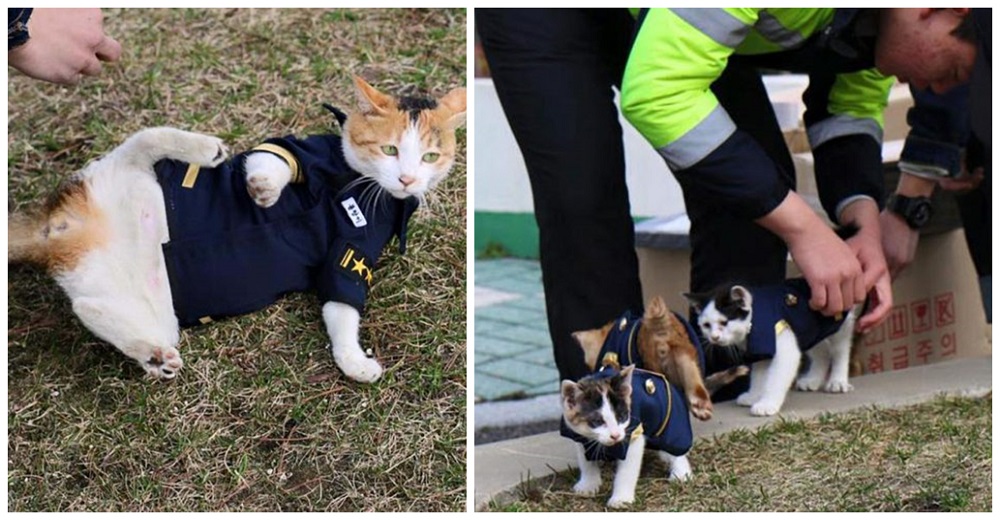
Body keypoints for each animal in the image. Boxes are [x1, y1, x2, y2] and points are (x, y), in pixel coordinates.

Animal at [5, 75, 466, 380]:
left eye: (429, 157)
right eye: (389, 149)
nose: (407, 179)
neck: (355, 184)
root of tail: (61, 229)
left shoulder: (351, 253)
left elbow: (342, 305)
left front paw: (352, 360)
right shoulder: (297, 149)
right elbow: (271, 159)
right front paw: (265, 189)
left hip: (148, 305)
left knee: (89, 308)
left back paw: (152, 356)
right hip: (118, 173)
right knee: (142, 140)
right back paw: (202, 147)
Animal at [688, 278, 860, 416]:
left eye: (724, 322)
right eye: (706, 325)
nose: (714, 337)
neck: (754, 321)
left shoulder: (784, 348)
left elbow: (776, 379)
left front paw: (767, 404)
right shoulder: (760, 350)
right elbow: (759, 375)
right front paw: (754, 395)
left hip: (838, 324)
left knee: (840, 350)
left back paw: (838, 381)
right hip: (810, 331)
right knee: (822, 352)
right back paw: (813, 379)